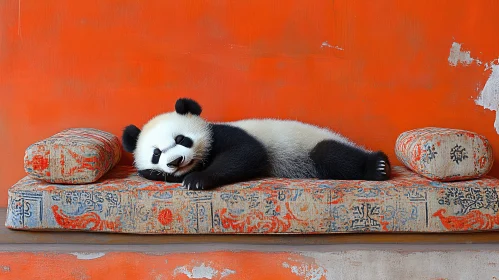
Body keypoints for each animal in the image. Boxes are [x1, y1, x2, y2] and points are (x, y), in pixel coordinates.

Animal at [121, 98, 390, 190]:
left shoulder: (225, 133)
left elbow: (247, 152)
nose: (176, 161)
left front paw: (197, 180)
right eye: (156, 154)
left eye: (180, 139)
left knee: (331, 153)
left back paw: (377, 167)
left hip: (311, 143)